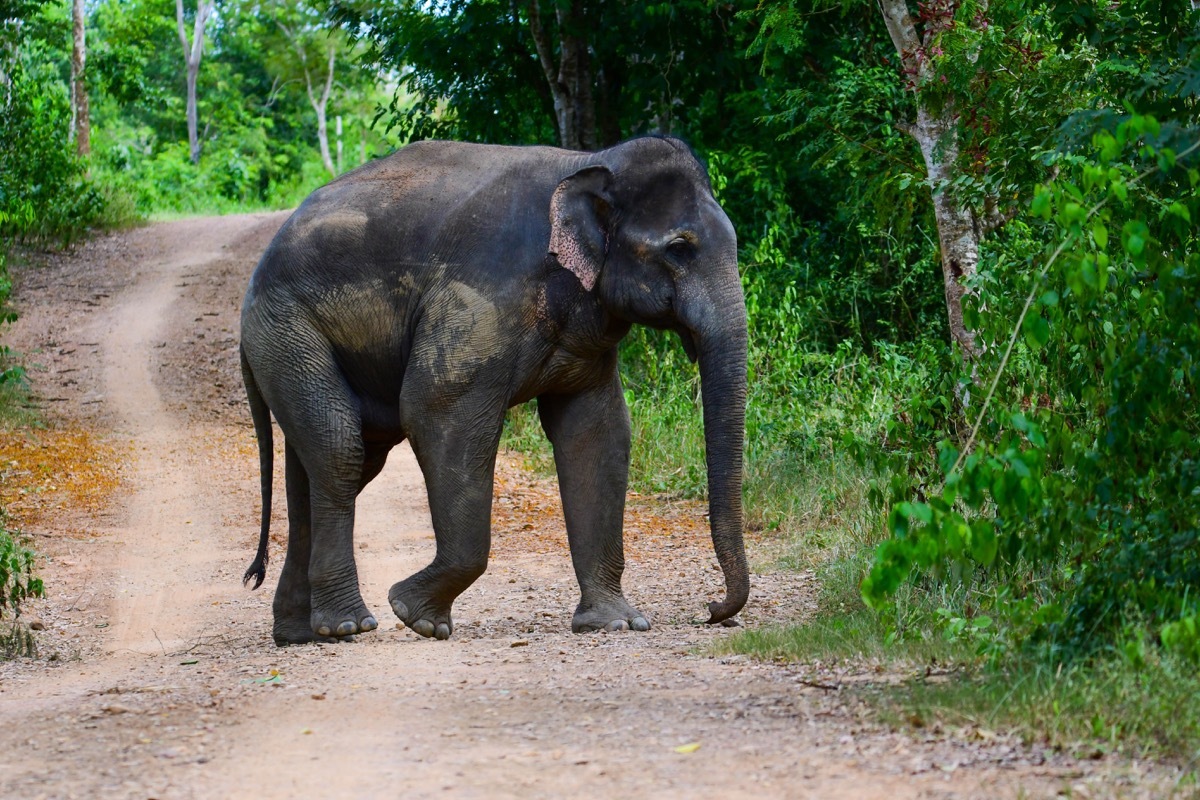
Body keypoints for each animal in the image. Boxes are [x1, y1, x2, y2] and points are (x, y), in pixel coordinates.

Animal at [239, 135, 748, 646]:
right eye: (679, 248)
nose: (711, 610)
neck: (590, 164)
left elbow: (597, 434)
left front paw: (617, 623)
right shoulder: (481, 296)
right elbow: (437, 406)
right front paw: (416, 616)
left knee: (331, 464)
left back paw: (300, 632)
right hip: (287, 329)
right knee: (341, 448)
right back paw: (349, 625)